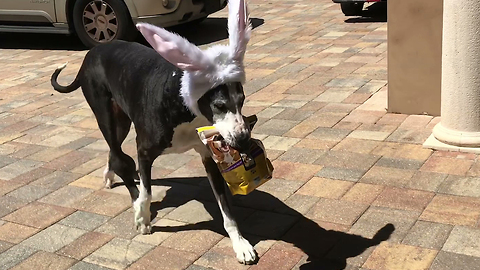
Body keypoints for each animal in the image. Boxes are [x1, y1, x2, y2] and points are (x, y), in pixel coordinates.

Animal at [50, 0, 256, 266]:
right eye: (219, 106)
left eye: (241, 101)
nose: (243, 139)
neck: (181, 102)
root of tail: (92, 53)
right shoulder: (144, 150)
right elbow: (146, 191)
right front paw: (142, 217)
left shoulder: (208, 156)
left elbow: (226, 209)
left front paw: (240, 244)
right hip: (105, 115)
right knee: (120, 158)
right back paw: (132, 195)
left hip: (121, 121)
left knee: (114, 151)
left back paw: (110, 175)